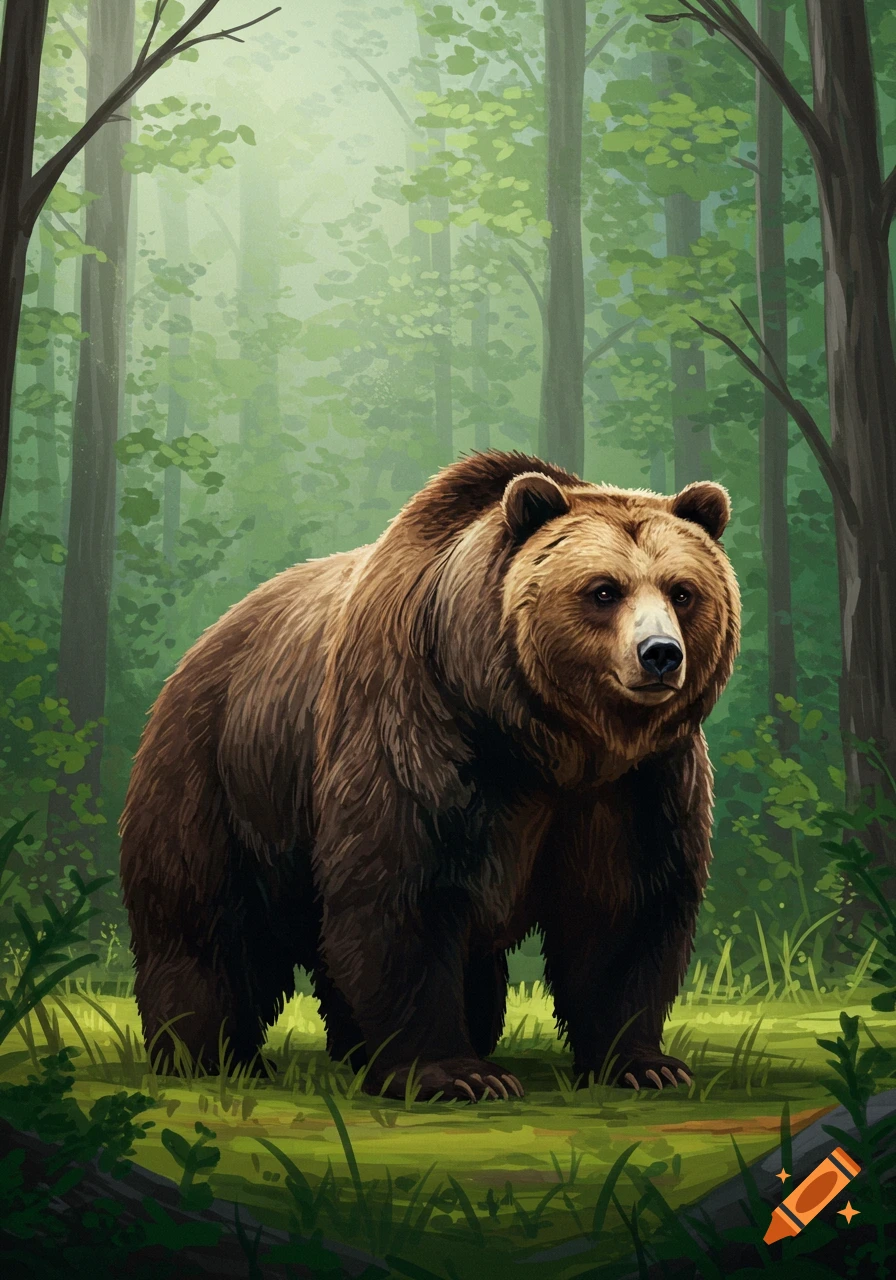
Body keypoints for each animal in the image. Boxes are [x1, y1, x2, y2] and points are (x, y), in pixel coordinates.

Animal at [120, 450, 739, 1102]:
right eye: (603, 590)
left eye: (683, 590)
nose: (660, 653)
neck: (548, 741)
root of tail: (205, 641)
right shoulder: (419, 728)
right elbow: (403, 891)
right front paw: (459, 1074)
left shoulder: (640, 781)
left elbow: (627, 907)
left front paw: (645, 1063)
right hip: (220, 773)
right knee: (202, 922)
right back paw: (209, 1053)